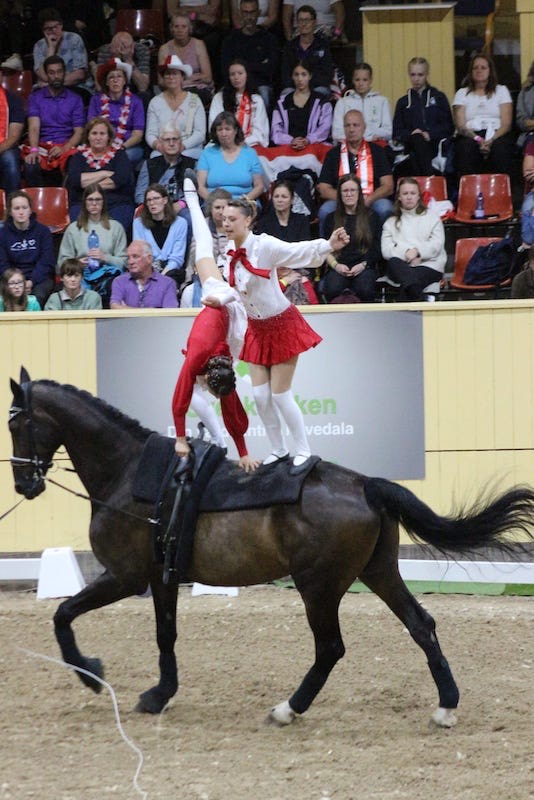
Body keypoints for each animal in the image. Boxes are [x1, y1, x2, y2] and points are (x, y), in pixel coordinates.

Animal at [7, 372, 534, 728]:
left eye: (17, 424)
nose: (23, 484)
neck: (128, 472)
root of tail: (366, 485)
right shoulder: (160, 578)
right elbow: (165, 635)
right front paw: (160, 694)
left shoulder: (125, 576)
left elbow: (63, 615)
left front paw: (92, 674)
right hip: (378, 571)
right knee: (421, 625)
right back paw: (445, 706)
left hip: (319, 586)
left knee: (330, 648)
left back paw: (287, 708)